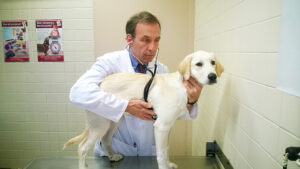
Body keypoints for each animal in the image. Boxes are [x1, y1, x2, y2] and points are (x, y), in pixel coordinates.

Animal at [64, 50, 224, 169]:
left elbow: (166, 149)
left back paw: (113, 156)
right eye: (198, 64)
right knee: (82, 147)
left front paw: (169, 164)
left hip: (114, 121)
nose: (212, 76)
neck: (181, 85)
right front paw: (164, 167)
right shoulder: (161, 126)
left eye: (213, 63)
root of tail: (99, 83)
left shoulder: (167, 127)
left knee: (106, 138)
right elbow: (160, 153)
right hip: (100, 124)